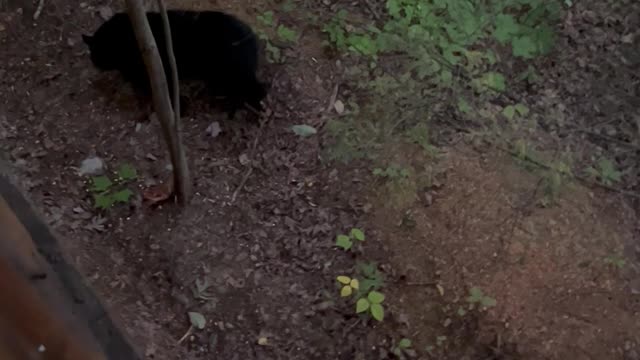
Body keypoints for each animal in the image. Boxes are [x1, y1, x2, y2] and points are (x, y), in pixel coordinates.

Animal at [82, 10, 268, 118]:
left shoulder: (152, 75)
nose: (95, 64)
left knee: (254, 90)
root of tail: (251, 38)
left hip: (229, 74)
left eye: (95, 54)